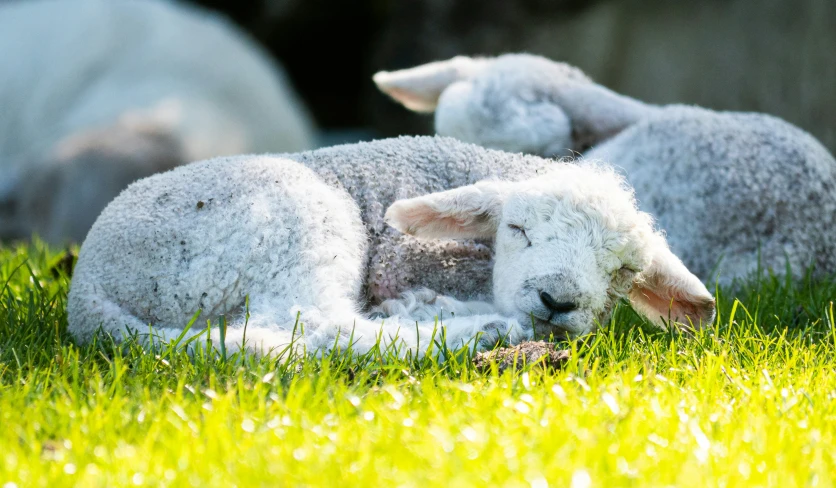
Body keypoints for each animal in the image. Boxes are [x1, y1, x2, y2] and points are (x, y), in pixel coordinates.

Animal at [68, 137, 716, 354]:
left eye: (624, 270)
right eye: (519, 230)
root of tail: (86, 294)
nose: (558, 302)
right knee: (308, 331)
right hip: (288, 221)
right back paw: (474, 332)